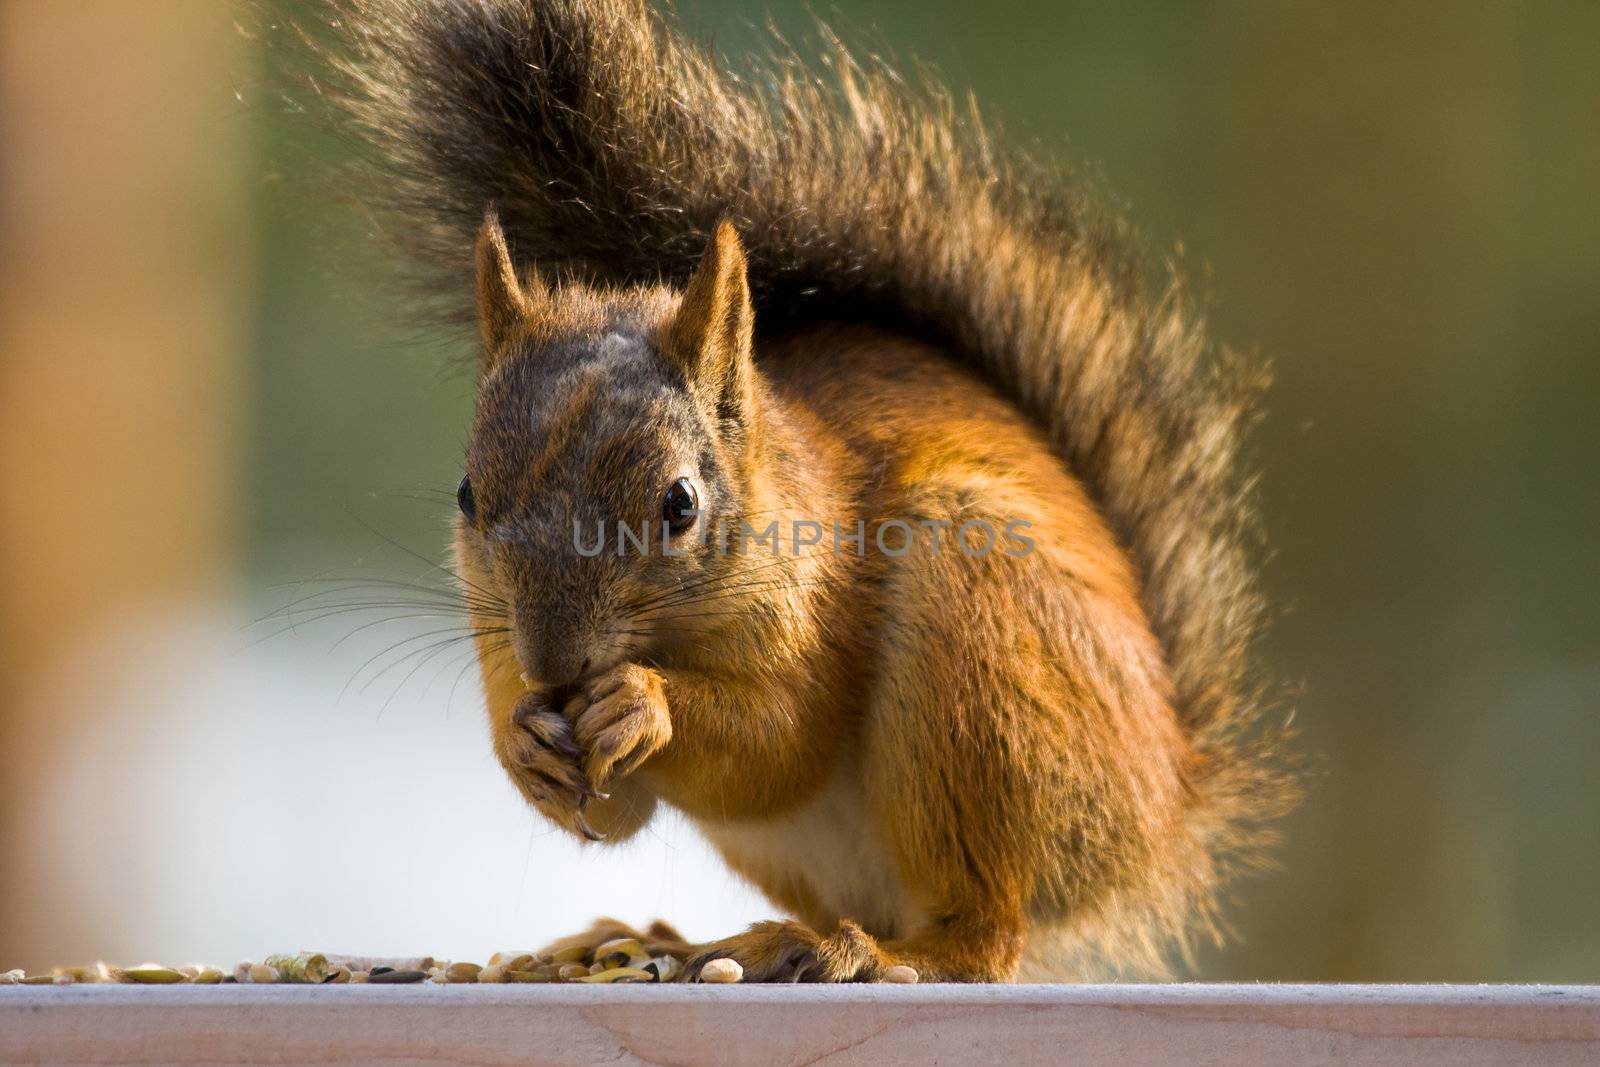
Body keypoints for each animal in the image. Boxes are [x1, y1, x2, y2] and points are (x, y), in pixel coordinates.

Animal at [300, 0, 1292, 985]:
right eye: (467, 495)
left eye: (681, 503)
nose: (553, 665)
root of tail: (1162, 805)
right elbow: (611, 810)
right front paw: (524, 742)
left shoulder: (819, 609)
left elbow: (783, 741)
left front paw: (643, 702)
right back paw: (688, 942)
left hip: (984, 672)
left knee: (980, 937)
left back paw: (853, 950)